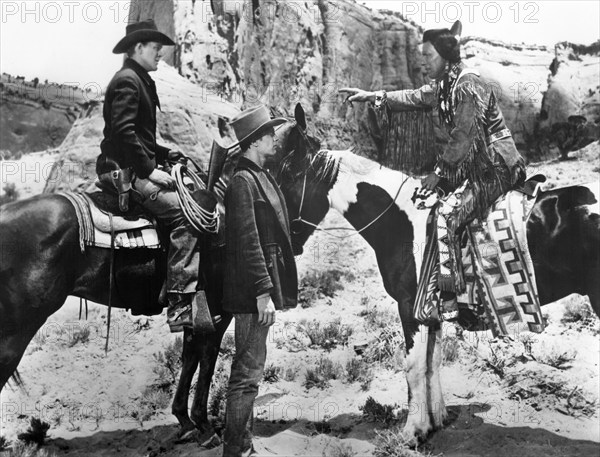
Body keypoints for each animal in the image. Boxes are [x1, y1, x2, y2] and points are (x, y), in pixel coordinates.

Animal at [0, 119, 310, 440]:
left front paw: (185, 419)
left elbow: (190, 356)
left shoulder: (196, 309)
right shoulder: (218, 309)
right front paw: (203, 423)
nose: (298, 236)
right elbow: (208, 357)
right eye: (304, 167)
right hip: (17, 329)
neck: (224, 206)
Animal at [274, 103, 596, 438]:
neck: (405, 221)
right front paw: (436, 419)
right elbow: (433, 361)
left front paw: (412, 431)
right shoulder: (432, 312)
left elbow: (413, 366)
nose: (284, 240)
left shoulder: (410, 308)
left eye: (287, 176)